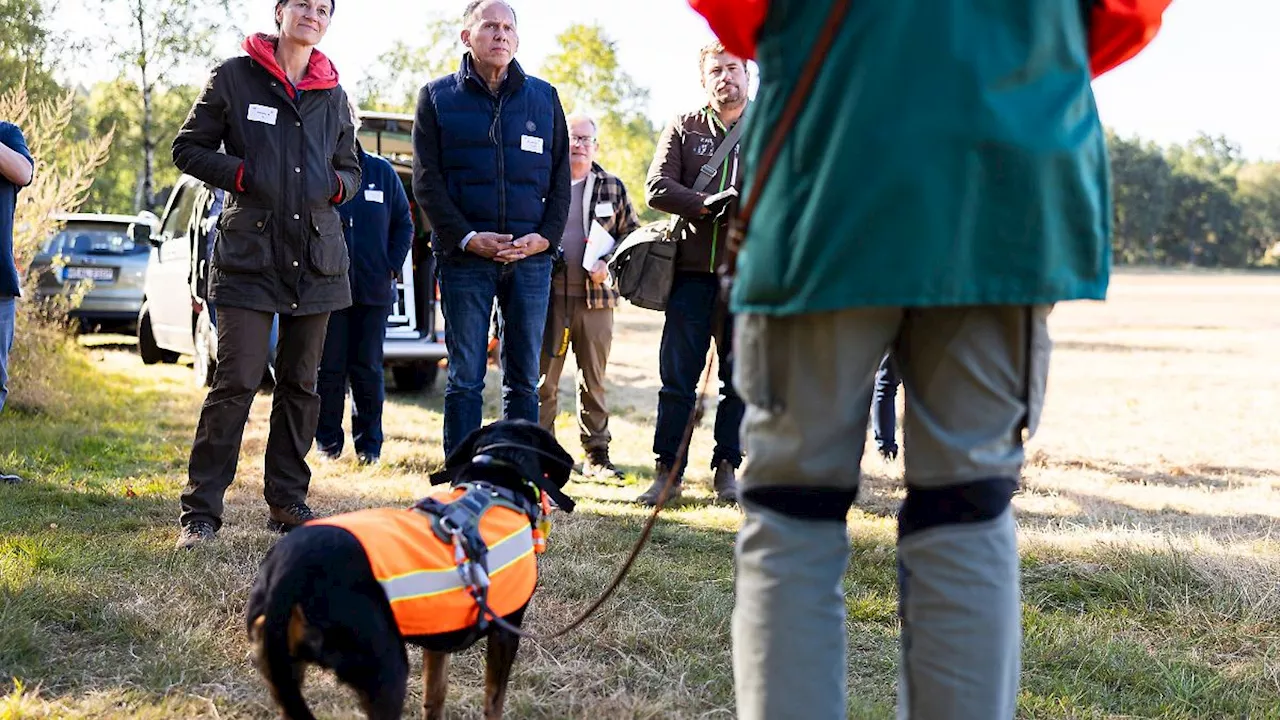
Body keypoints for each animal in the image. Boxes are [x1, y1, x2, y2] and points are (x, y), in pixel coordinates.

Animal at [244, 417, 576, 712]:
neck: (492, 483)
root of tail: (288, 576)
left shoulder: (438, 640)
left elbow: (435, 695)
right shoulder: (506, 631)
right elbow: (493, 701)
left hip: (284, 674)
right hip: (386, 672)